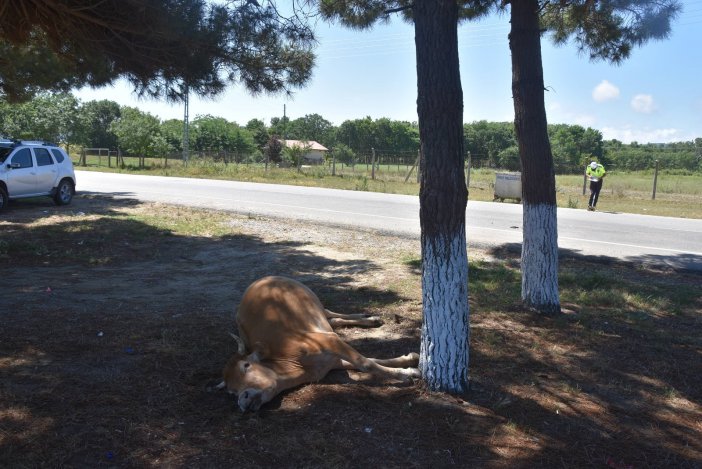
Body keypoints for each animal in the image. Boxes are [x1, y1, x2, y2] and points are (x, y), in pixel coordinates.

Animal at [217, 274, 420, 410]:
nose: (243, 399)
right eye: (231, 392)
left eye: (246, 365)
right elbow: (370, 361)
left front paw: (405, 374)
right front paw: (410, 365)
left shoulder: (329, 341)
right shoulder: (332, 362)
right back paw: (368, 318)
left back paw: (370, 318)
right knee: (333, 320)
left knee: (330, 313)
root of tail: (263, 278)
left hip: (313, 300)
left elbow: (366, 363)